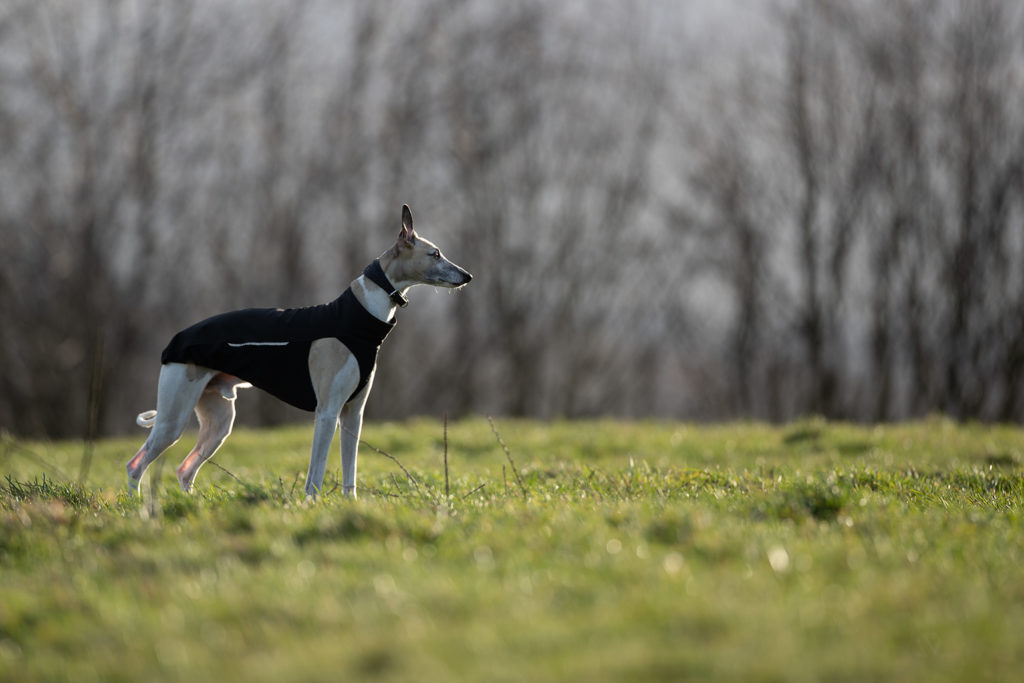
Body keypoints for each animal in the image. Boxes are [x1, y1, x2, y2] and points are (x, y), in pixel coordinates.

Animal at [124, 205, 471, 499]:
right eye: (435, 253)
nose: (468, 276)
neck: (359, 315)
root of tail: (177, 339)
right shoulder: (328, 412)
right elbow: (316, 471)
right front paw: (311, 505)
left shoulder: (353, 414)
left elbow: (350, 469)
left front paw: (351, 504)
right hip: (173, 417)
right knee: (136, 464)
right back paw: (136, 508)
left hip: (219, 422)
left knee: (185, 469)